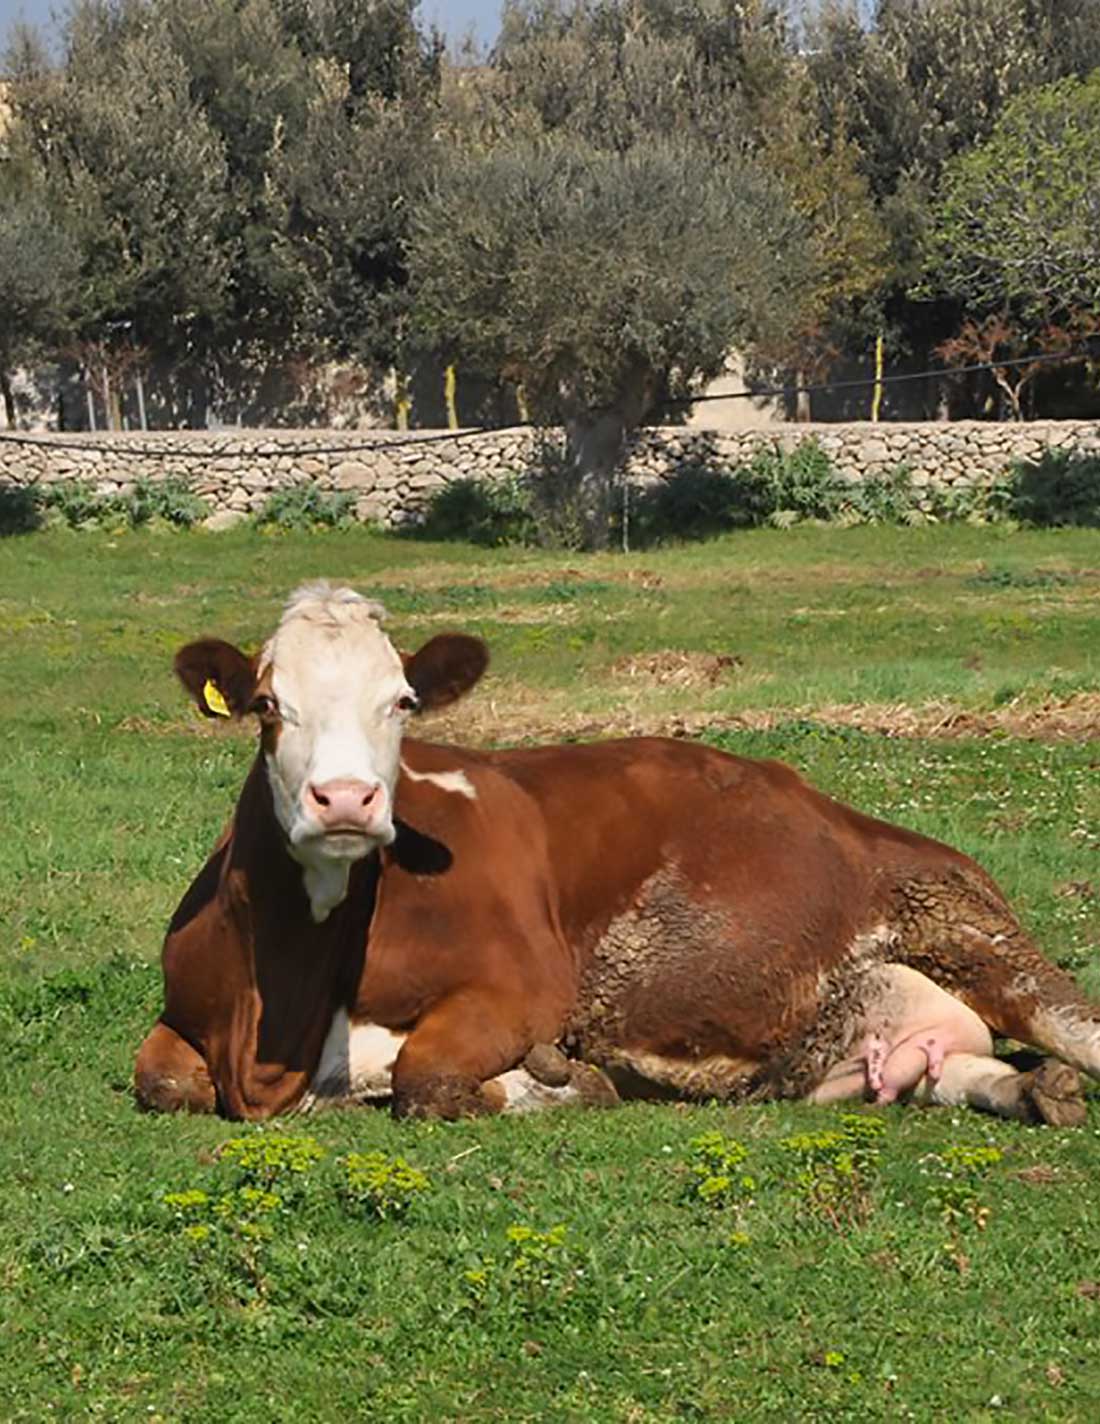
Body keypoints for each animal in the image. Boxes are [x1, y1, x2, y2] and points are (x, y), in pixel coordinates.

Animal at [137, 578, 1100, 1122]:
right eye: (268, 704)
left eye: (403, 700)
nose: (346, 799)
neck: (279, 1022)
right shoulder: (185, 1016)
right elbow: (163, 1083)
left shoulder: (526, 985)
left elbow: (426, 1081)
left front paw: (559, 1083)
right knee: (959, 1069)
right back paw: (1032, 1092)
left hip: (973, 932)